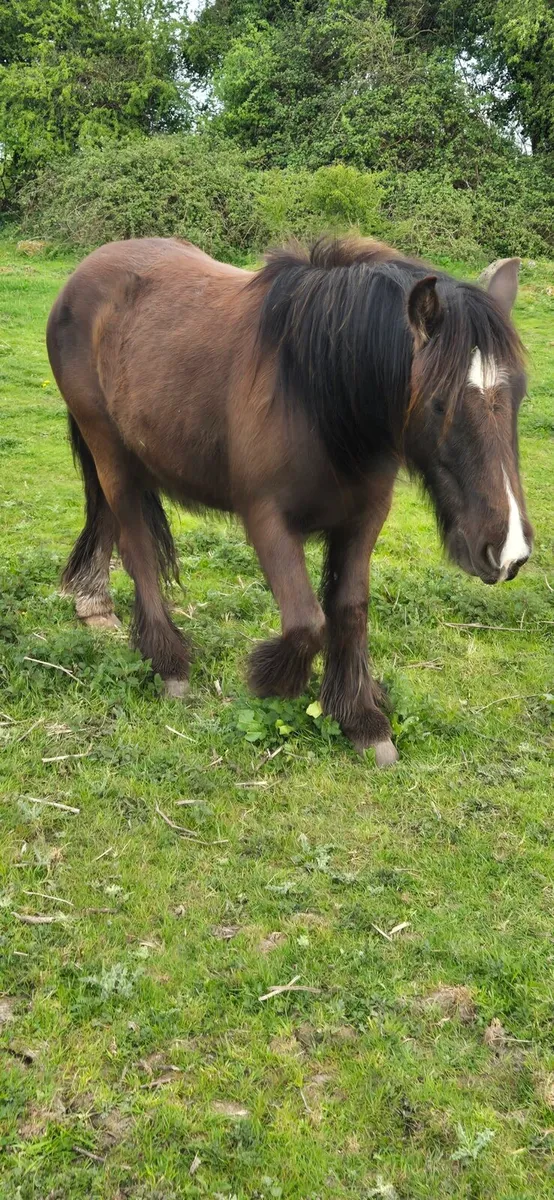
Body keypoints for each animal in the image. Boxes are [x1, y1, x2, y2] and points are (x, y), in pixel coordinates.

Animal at [46, 236, 532, 766]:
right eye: (439, 403)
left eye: (520, 397)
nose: (508, 552)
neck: (313, 393)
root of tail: (86, 272)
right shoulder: (267, 519)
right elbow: (306, 622)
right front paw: (270, 679)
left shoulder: (364, 519)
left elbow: (349, 609)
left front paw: (360, 717)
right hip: (108, 450)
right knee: (137, 548)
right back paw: (168, 663)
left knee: (109, 520)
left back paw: (94, 604)